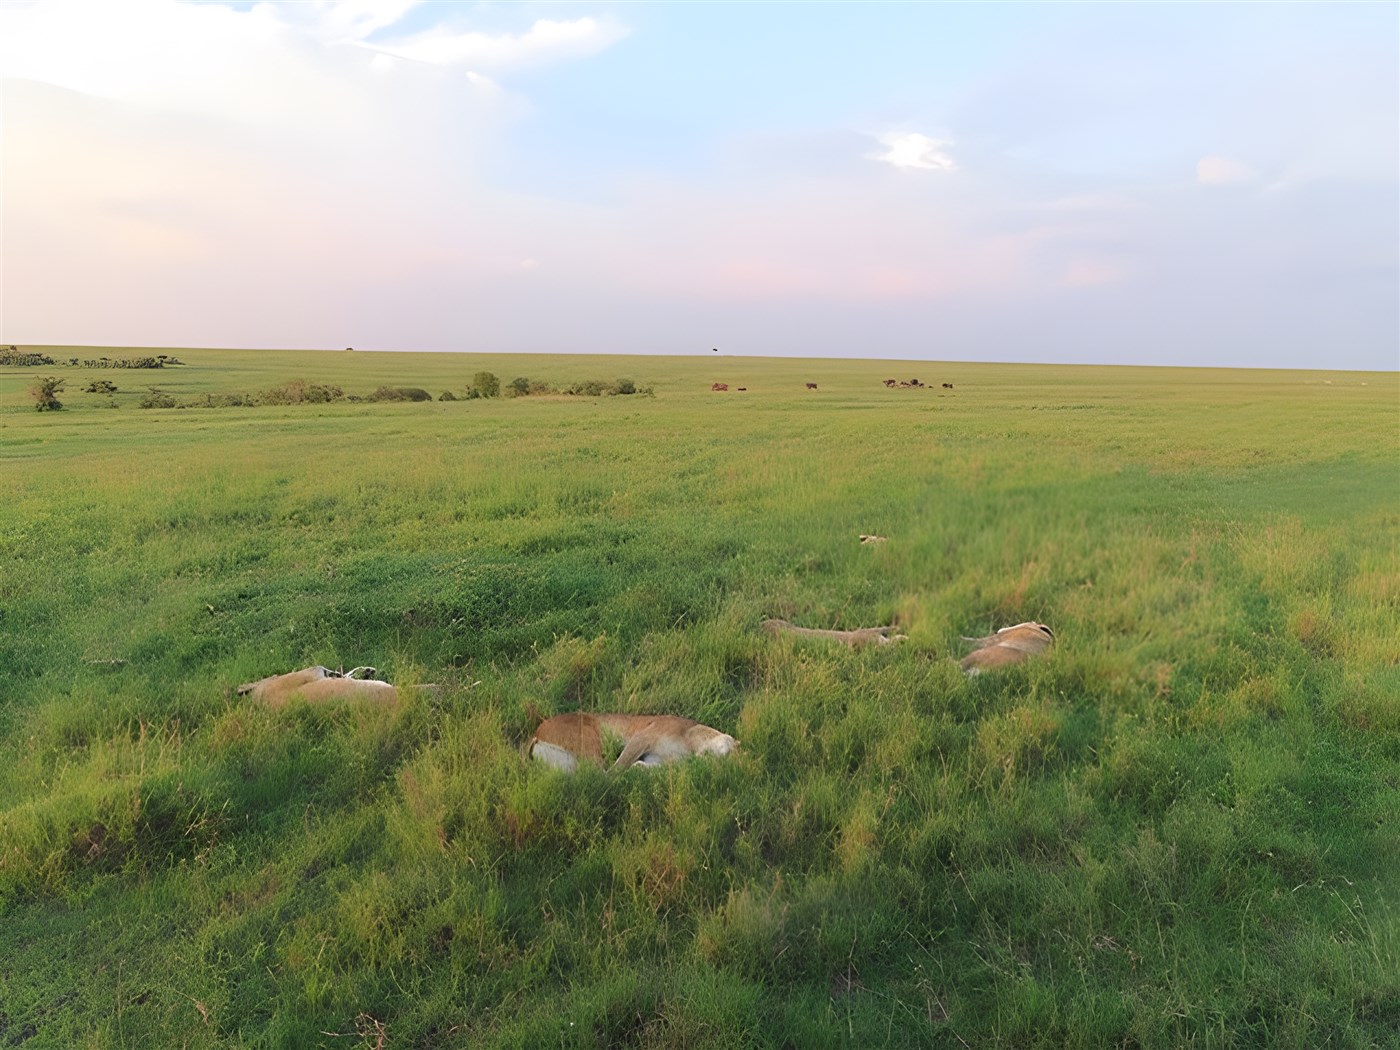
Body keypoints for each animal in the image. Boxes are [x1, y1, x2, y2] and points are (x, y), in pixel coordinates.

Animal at [524, 712, 739, 773]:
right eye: (728, 753)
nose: (714, 766)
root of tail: (536, 732)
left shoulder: (656, 759)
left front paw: (638, 768)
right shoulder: (642, 737)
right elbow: (619, 766)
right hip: (590, 740)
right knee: (601, 775)